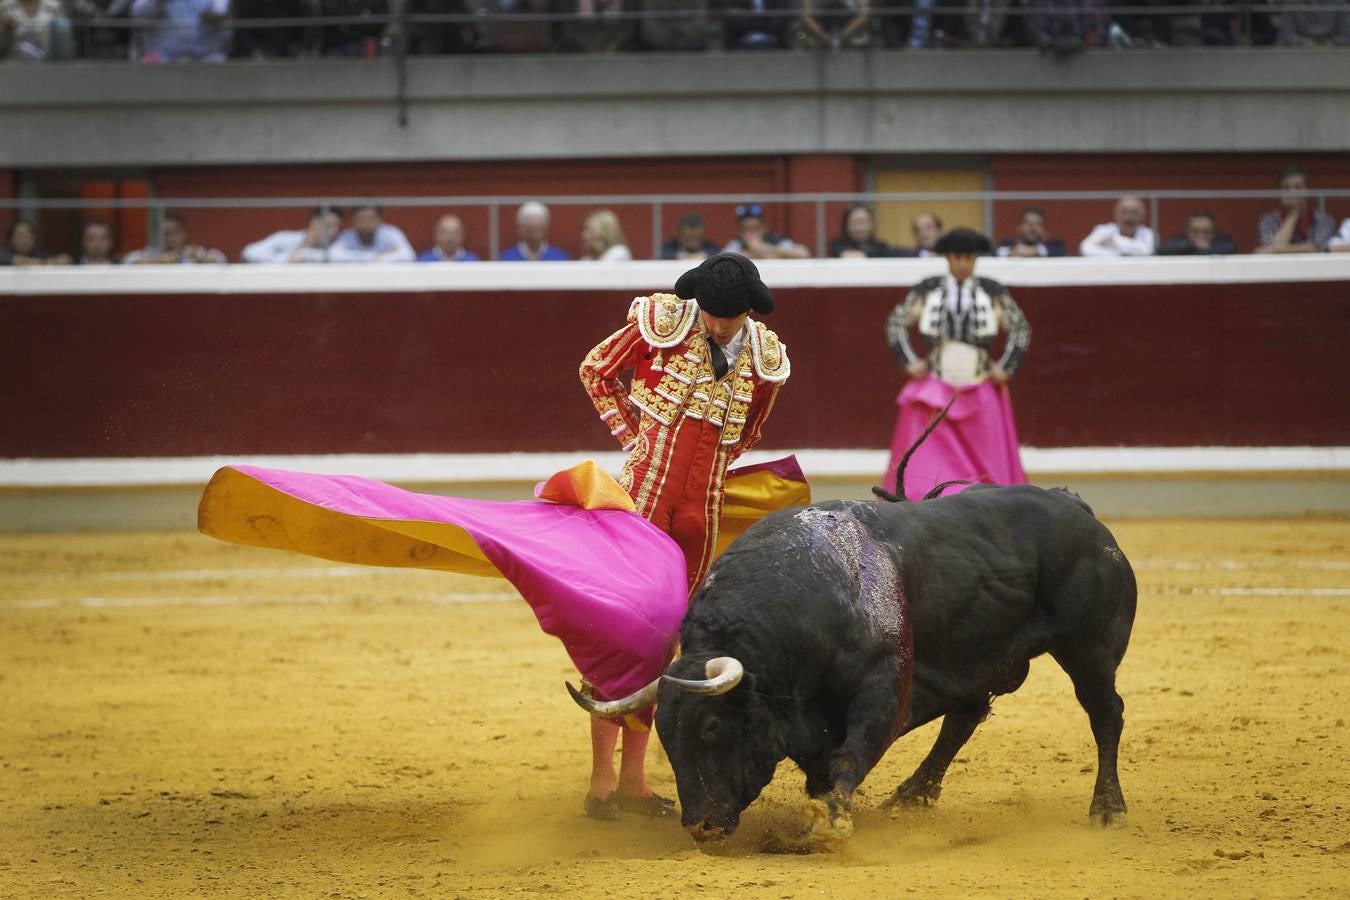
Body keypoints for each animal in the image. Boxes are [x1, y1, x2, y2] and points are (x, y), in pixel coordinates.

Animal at [569, 485, 1139, 847]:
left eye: (711, 726)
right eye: (665, 733)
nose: (701, 827)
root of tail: (1077, 508)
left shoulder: (882, 689)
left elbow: (851, 755)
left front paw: (831, 824)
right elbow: (824, 769)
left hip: (1088, 649)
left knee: (1105, 713)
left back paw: (1108, 809)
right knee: (965, 715)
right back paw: (912, 795)